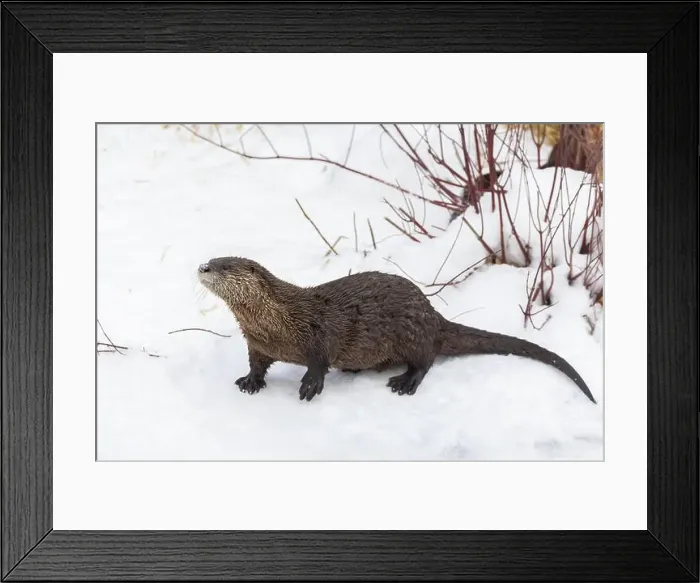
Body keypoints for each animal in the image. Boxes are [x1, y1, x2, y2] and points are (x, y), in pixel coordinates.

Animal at [197, 256, 596, 404]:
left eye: (225, 265)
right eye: (211, 259)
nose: (203, 266)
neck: (277, 322)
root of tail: (433, 315)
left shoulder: (318, 330)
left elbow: (320, 358)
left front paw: (310, 385)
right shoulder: (256, 342)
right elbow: (257, 363)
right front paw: (250, 381)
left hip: (412, 332)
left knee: (426, 360)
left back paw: (404, 382)